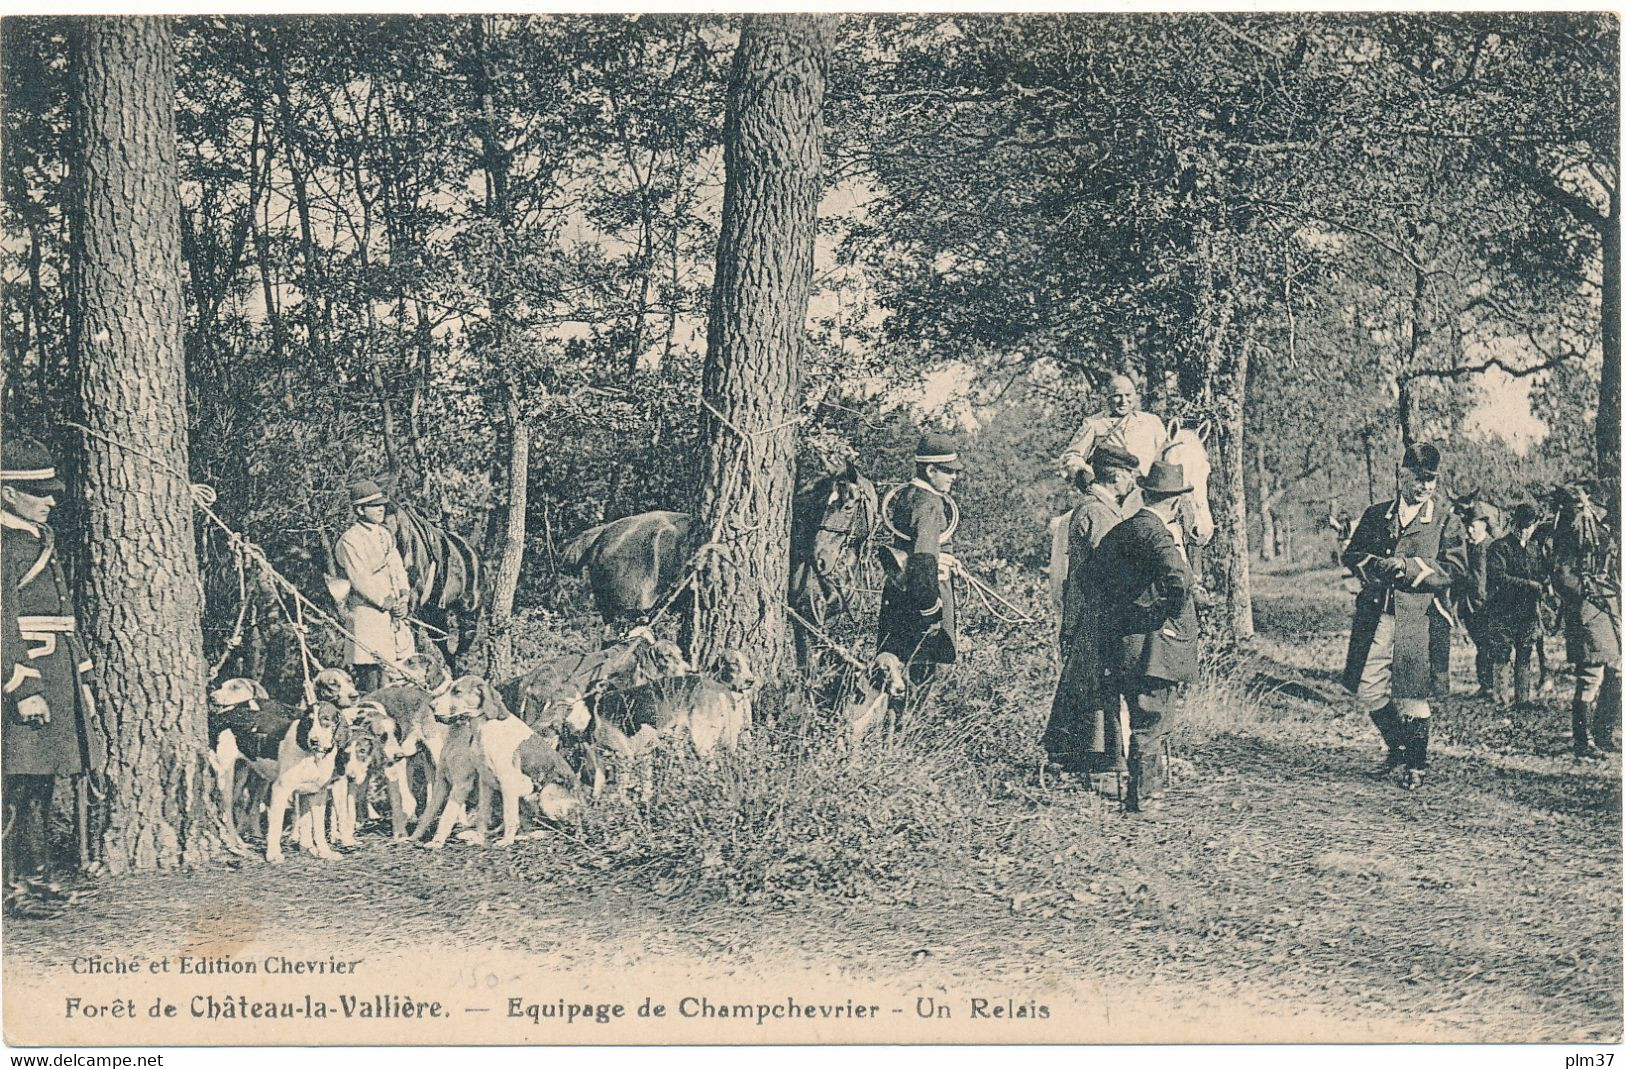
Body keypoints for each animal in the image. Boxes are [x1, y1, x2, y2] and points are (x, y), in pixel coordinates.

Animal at [565, 461, 884, 662]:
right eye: (824, 504)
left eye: (848, 505)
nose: (820, 560)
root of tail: (604, 532)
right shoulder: (806, 620)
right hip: (626, 613)